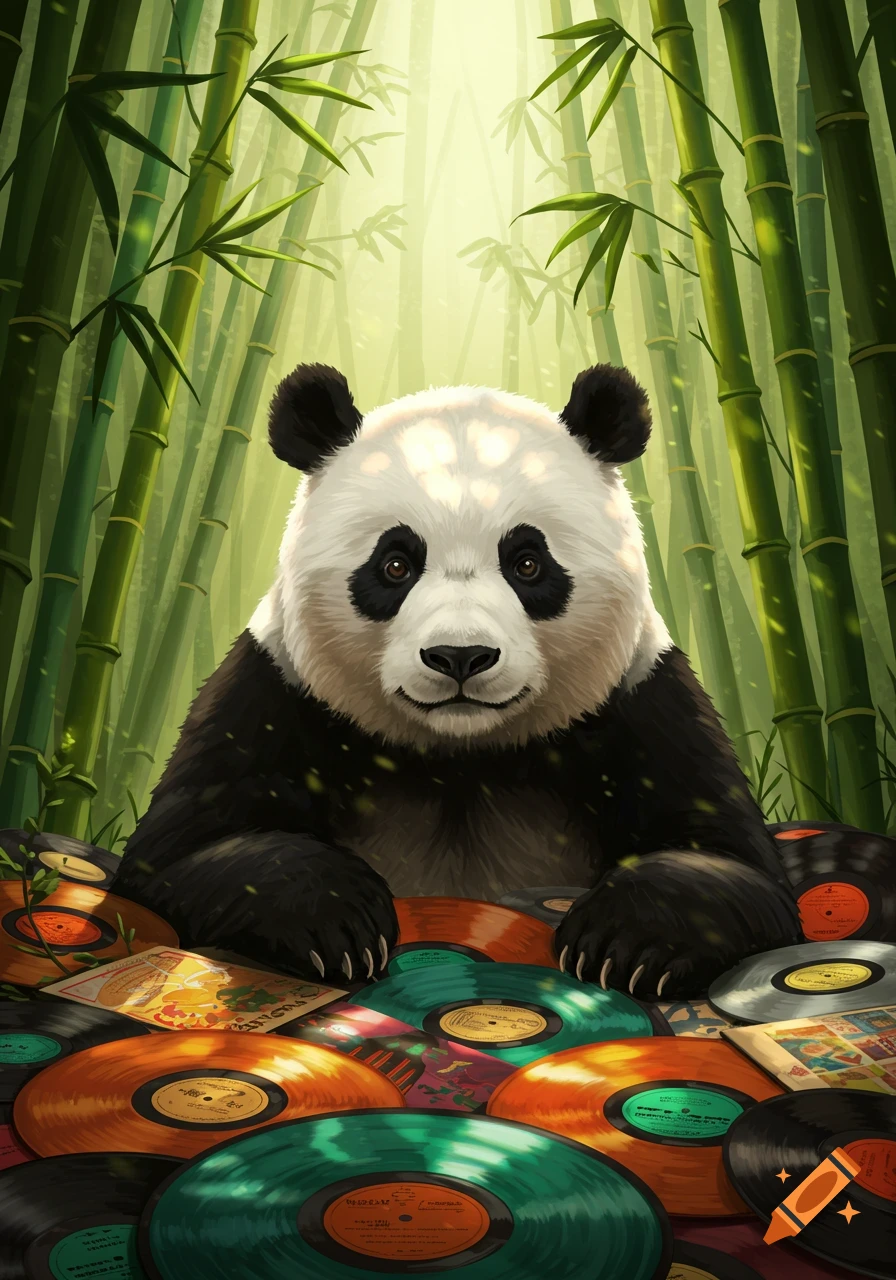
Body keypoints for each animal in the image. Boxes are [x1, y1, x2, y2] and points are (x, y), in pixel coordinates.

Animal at [113, 362, 800, 999]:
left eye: (528, 563)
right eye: (395, 564)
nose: (460, 656)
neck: (461, 755)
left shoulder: (643, 701)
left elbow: (731, 863)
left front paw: (624, 942)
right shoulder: (275, 693)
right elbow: (180, 856)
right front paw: (337, 925)